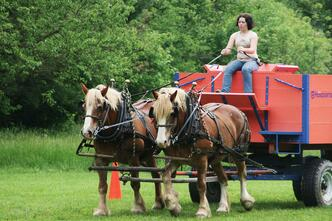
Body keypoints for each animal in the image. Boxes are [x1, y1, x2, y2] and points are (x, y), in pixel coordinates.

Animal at [80, 84, 163, 216]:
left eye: (100, 106)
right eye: (84, 106)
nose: (87, 132)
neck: (118, 127)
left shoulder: (133, 159)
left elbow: (135, 183)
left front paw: (138, 206)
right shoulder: (101, 160)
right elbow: (102, 186)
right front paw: (101, 210)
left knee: (156, 175)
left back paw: (159, 202)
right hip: (147, 156)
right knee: (156, 174)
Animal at [149, 87, 255, 218]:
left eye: (172, 113)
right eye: (154, 114)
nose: (161, 141)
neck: (188, 128)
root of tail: (239, 111)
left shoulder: (202, 159)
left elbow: (201, 184)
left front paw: (203, 210)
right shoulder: (176, 159)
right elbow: (165, 176)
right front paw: (173, 205)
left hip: (238, 153)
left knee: (242, 174)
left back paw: (246, 201)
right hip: (216, 159)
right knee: (223, 178)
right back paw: (223, 206)